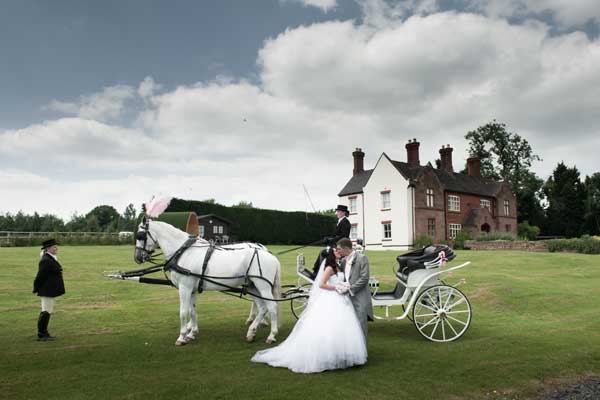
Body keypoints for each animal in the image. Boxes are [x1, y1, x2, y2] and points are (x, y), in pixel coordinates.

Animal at [135, 217, 280, 346]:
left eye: (140, 236)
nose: (137, 257)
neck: (183, 252)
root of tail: (271, 255)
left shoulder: (184, 288)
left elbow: (183, 312)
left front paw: (182, 337)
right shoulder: (192, 290)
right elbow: (192, 311)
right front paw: (192, 333)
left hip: (263, 287)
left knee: (272, 307)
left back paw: (271, 335)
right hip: (252, 286)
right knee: (262, 307)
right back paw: (251, 332)